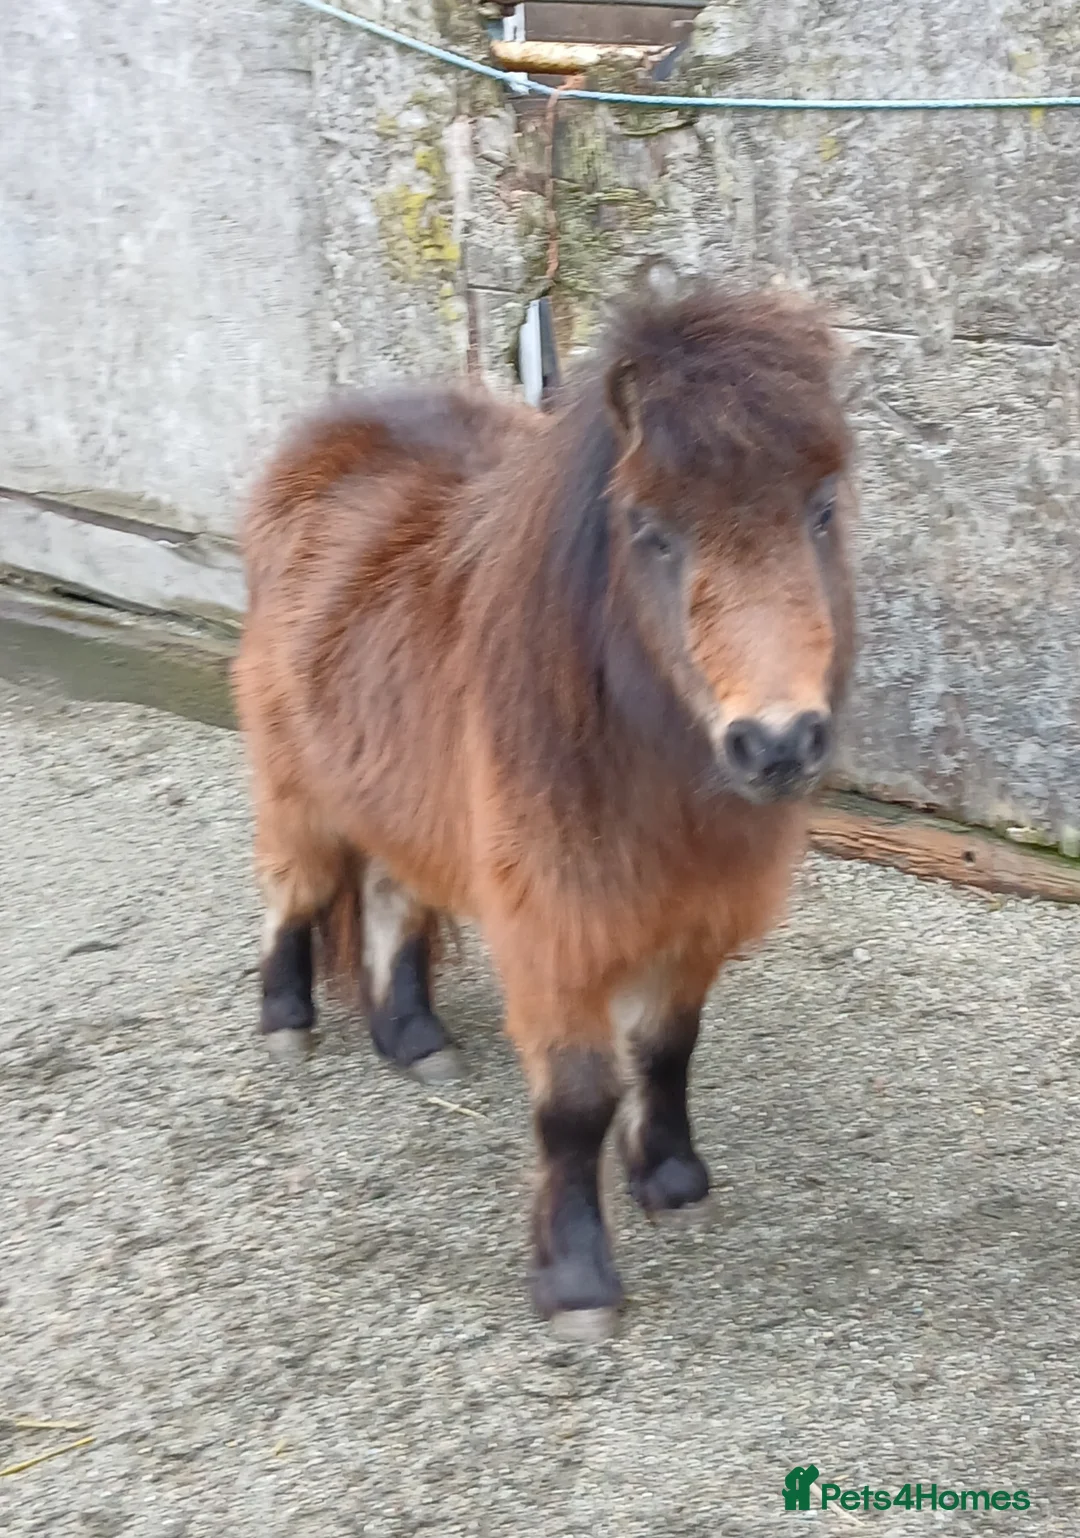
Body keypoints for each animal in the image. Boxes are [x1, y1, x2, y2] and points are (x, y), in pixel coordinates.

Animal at [232, 281, 857, 1341]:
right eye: (652, 531)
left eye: (820, 511)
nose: (777, 744)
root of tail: (323, 443)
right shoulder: (555, 931)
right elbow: (575, 1103)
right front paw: (575, 1283)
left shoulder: (690, 923)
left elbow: (667, 1051)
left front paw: (672, 1180)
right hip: (297, 790)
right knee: (295, 894)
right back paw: (286, 1021)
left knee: (392, 900)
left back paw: (415, 1040)